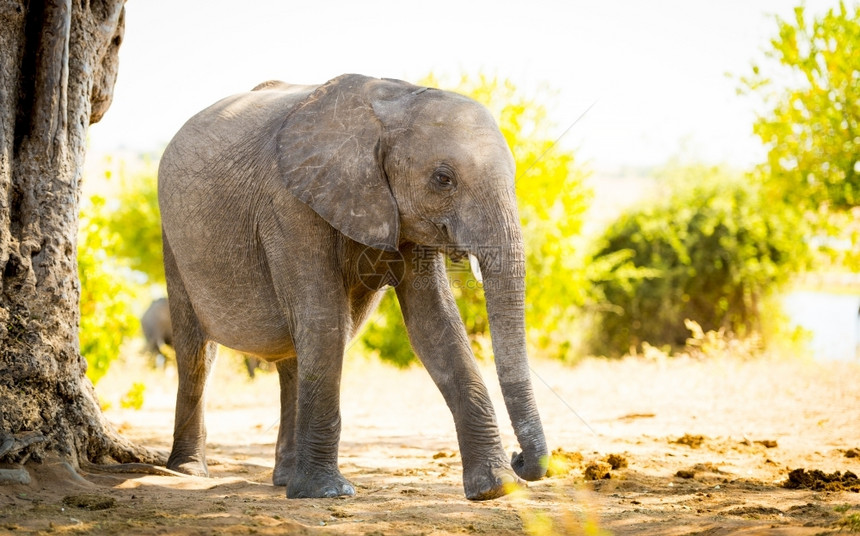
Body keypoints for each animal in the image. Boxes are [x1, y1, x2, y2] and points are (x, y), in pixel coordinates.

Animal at [158, 73, 548, 500]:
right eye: (443, 179)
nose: (520, 458)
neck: (391, 102)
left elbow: (436, 326)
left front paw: (497, 488)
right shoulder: (289, 204)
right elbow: (325, 318)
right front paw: (328, 493)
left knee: (295, 356)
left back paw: (285, 480)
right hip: (173, 241)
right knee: (197, 355)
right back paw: (189, 472)